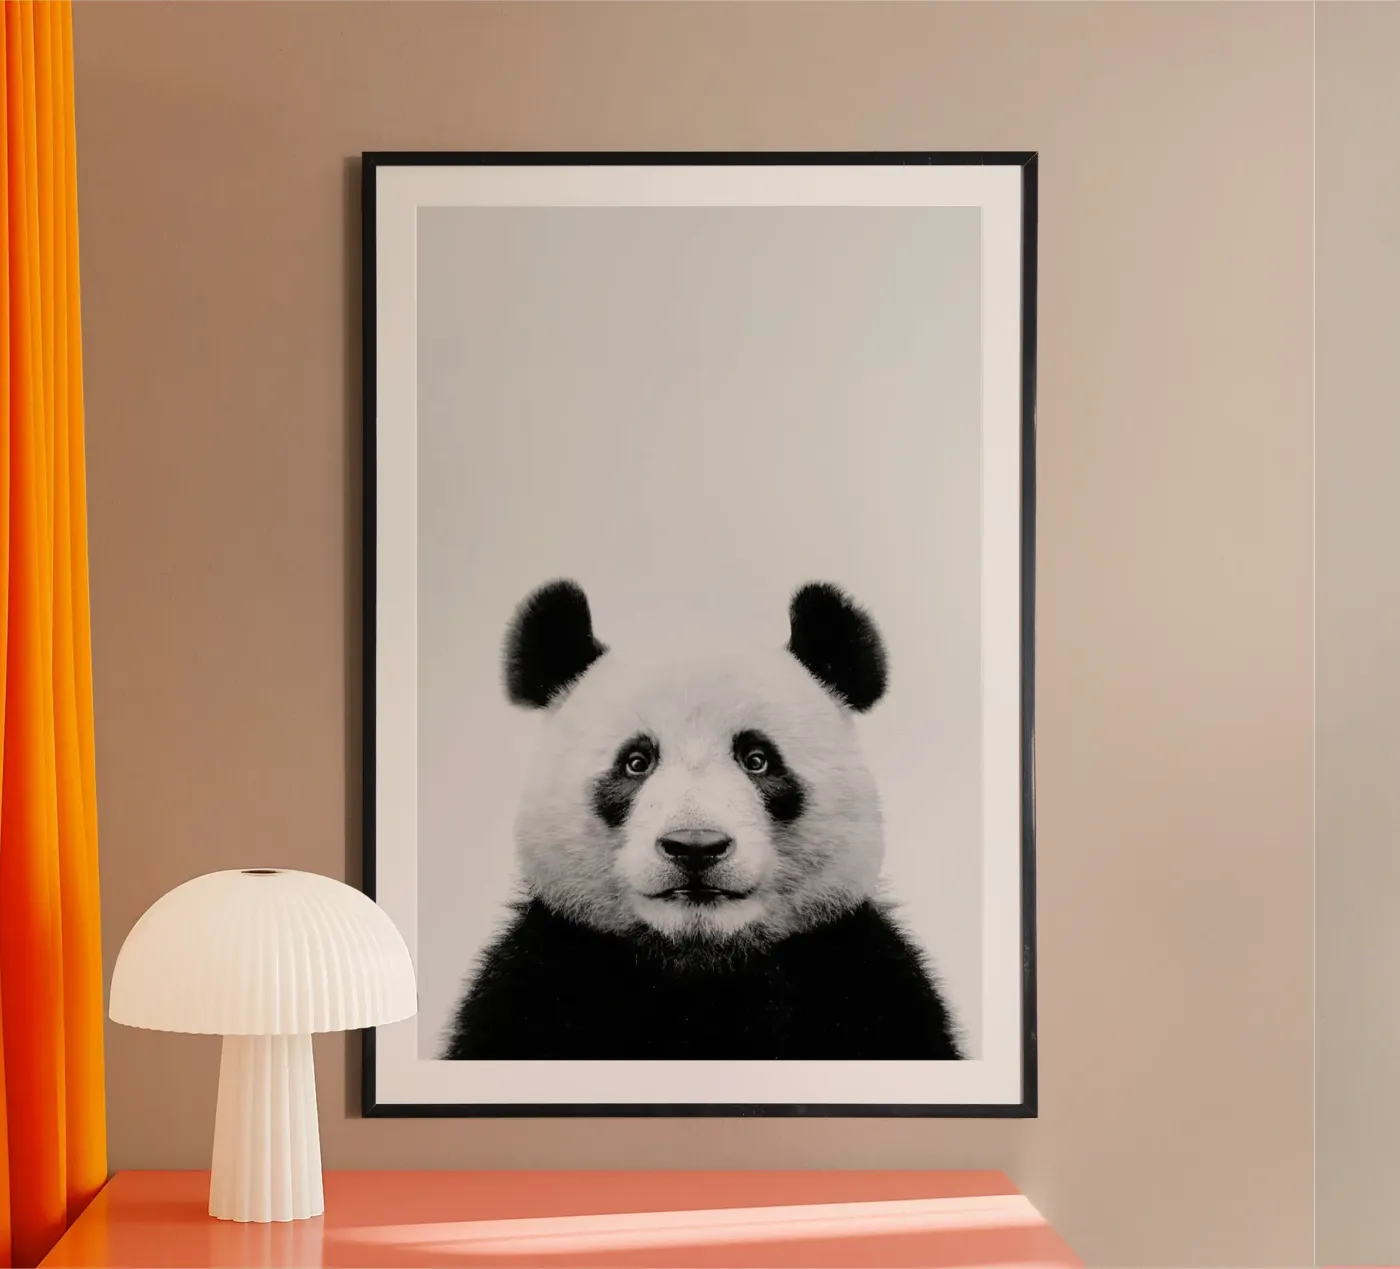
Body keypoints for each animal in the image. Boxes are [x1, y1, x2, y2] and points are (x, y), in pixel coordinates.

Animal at [441, 579, 963, 1062]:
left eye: (757, 760)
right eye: (636, 762)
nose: (695, 846)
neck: (700, 967)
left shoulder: (864, 982)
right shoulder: (538, 982)